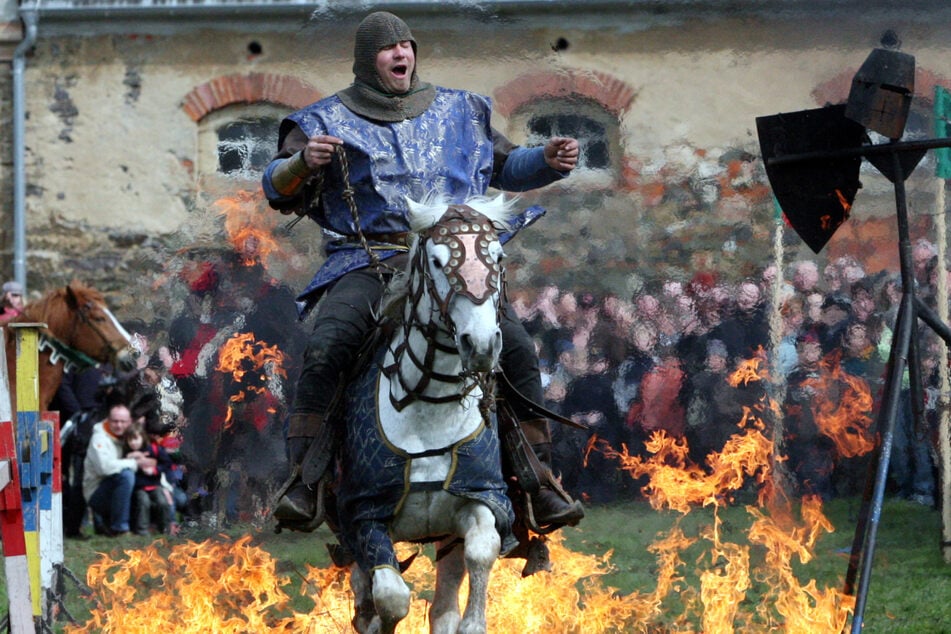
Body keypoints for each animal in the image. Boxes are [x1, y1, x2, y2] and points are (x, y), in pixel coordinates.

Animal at [338, 194, 520, 632]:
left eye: (498, 256)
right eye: (437, 261)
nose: (481, 344)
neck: (429, 406)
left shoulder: (479, 499)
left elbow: (483, 550)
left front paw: (473, 622)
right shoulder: (365, 516)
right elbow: (389, 599)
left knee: (443, 606)